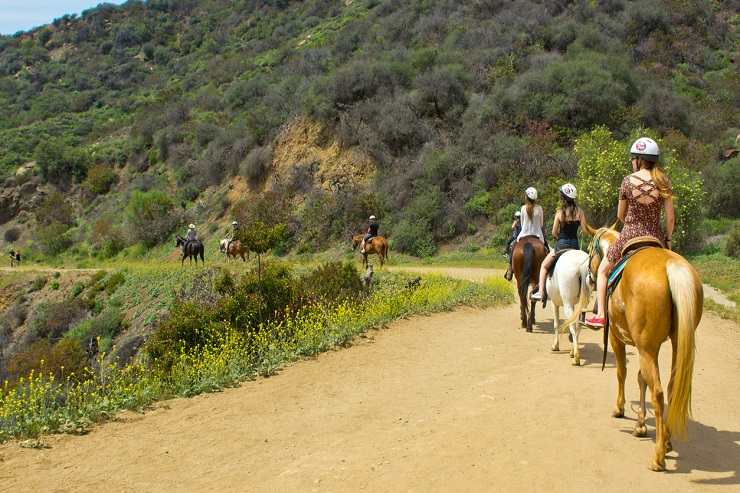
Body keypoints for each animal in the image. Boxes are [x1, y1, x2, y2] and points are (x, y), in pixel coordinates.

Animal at [568, 227, 704, 468]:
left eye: (591, 250)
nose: (591, 278)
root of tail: (672, 268)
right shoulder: (646, 346)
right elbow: (642, 379)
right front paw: (640, 424)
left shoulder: (617, 338)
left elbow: (622, 372)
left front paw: (620, 409)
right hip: (673, 343)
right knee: (670, 387)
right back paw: (666, 440)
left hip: (646, 347)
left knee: (658, 392)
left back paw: (658, 456)